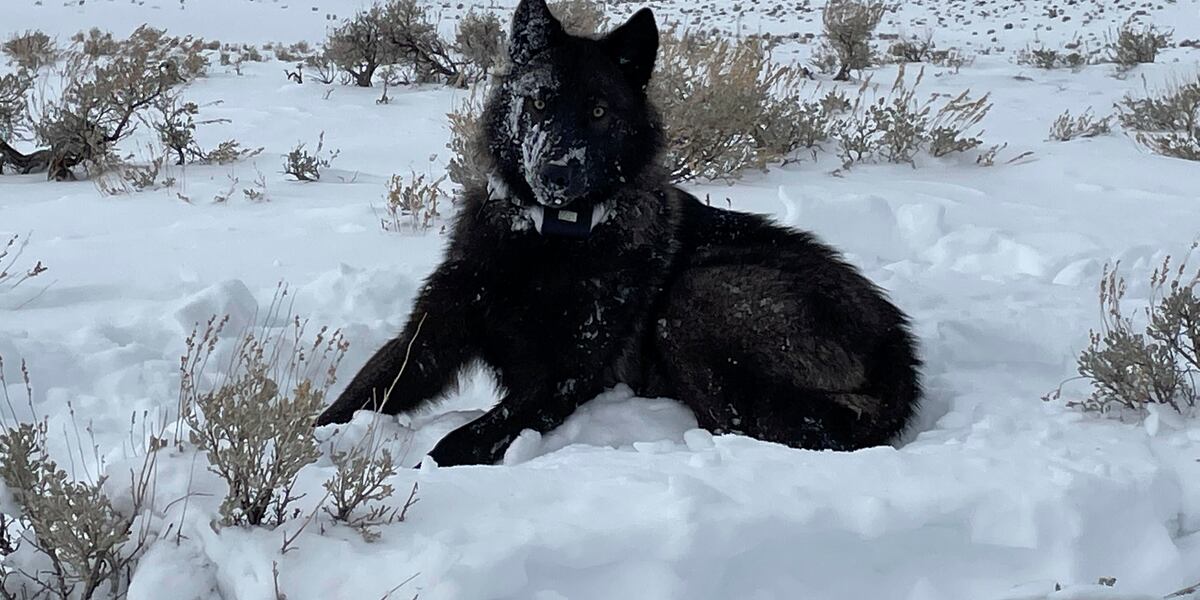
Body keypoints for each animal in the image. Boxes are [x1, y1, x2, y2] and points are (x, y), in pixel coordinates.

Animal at [315, 0, 922, 466]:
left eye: (600, 111)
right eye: (539, 100)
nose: (555, 172)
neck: (547, 244)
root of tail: (899, 353)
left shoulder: (563, 378)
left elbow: (460, 441)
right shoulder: (430, 337)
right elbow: (352, 399)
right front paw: (308, 447)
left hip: (696, 298)